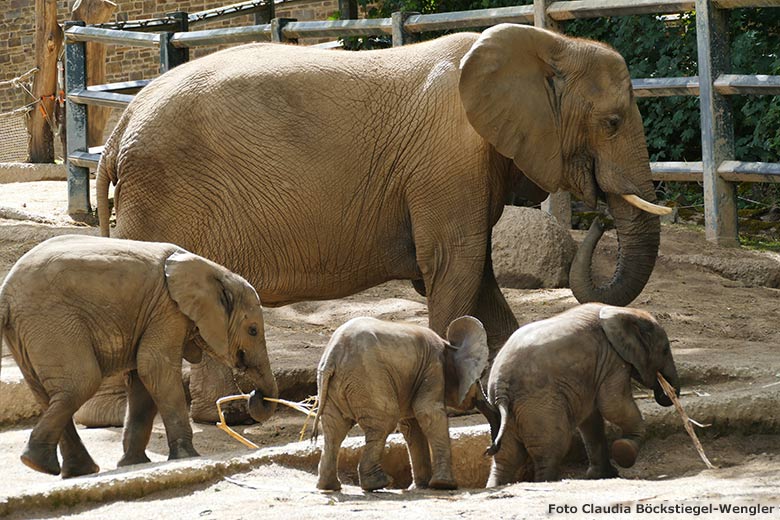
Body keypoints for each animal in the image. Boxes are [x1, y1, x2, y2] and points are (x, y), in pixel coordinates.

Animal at [0, 236, 278, 480]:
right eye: (253, 330)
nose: (254, 395)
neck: (213, 269)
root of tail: (5, 293)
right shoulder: (167, 310)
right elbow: (154, 368)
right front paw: (187, 456)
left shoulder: (156, 314)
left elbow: (143, 381)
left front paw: (133, 464)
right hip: (51, 321)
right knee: (82, 383)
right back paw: (42, 464)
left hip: (27, 331)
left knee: (48, 393)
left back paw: (61, 468)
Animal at [90, 22, 664, 424]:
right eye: (613, 122)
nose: (601, 214)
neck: (550, 42)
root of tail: (121, 125)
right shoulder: (448, 163)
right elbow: (454, 265)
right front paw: (456, 402)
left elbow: (478, 276)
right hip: (164, 191)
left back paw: (223, 415)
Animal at [314, 316, 490, 492]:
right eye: (478, 379)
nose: (487, 451)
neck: (447, 344)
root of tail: (332, 356)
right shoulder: (433, 367)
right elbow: (429, 413)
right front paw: (445, 486)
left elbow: (412, 426)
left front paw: (421, 487)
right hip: (368, 377)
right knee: (384, 422)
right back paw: (380, 483)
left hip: (334, 386)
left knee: (334, 430)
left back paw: (329, 486)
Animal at [484, 302, 680, 486]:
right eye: (665, 350)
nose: (666, 391)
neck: (623, 311)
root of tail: (501, 387)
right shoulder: (611, 359)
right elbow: (613, 405)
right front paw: (625, 451)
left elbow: (591, 418)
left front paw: (604, 475)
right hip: (538, 404)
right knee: (551, 448)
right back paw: (547, 481)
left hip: (504, 413)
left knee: (505, 458)